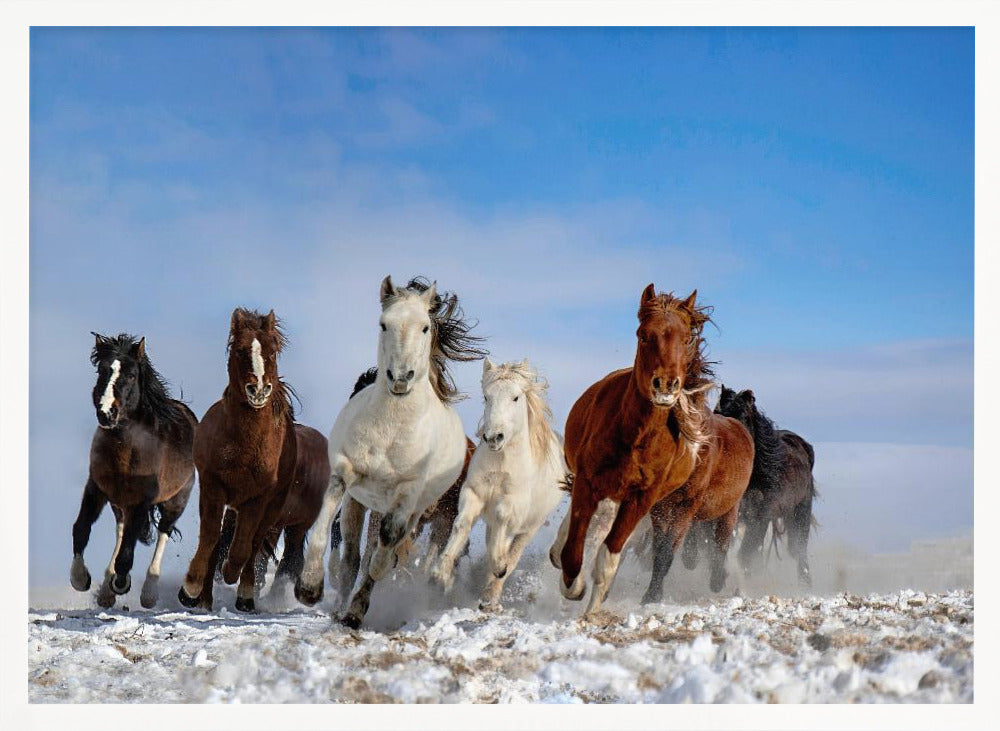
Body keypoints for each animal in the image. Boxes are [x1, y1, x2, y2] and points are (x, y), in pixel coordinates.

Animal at [70, 333, 197, 609]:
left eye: (130, 375)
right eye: (102, 370)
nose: (106, 413)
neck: (126, 448)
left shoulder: (142, 500)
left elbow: (127, 553)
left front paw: (121, 583)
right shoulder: (96, 489)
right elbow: (81, 529)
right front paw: (80, 579)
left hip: (175, 501)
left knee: (163, 533)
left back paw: (148, 593)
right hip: (119, 503)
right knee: (121, 530)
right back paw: (106, 590)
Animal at [177, 308, 330, 612]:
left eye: (271, 351)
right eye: (239, 350)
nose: (258, 390)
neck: (243, 447)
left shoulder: (257, 499)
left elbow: (243, 547)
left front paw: (231, 576)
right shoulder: (213, 486)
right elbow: (210, 538)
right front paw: (191, 590)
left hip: (279, 513)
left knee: (257, 545)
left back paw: (246, 595)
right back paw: (206, 598)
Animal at [296, 276, 487, 628]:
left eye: (424, 327)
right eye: (383, 324)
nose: (400, 378)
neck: (392, 428)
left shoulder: (407, 499)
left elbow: (385, 550)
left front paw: (363, 601)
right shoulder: (347, 474)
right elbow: (327, 520)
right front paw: (309, 587)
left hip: (417, 511)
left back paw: (356, 610)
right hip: (362, 503)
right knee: (352, 556)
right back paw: (341, 606)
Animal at [430, 358, 567, 610]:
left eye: (515, 397)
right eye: (487, 396)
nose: (494, 437)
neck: (501, 464)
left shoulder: (512, 504)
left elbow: (503, 522)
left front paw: (498, 566)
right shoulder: (473, 493)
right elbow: (462, 524)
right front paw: (440, 574)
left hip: (530, 527)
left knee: (513, 552)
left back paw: (492, 592)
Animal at [713, 386, 817, 586]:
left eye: (743, 416)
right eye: (717, 414)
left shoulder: (760, 517)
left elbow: (746, 554)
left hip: (800, 513)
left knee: (799, 550)